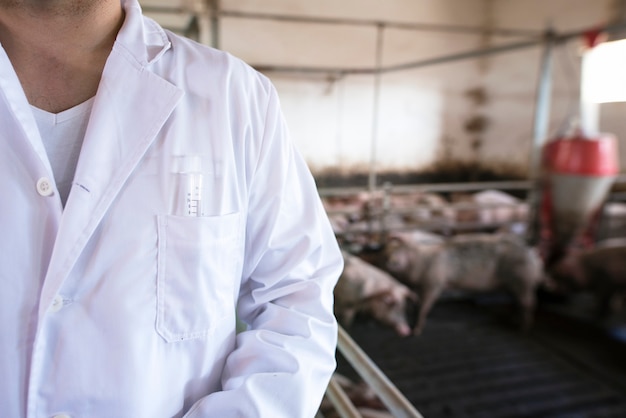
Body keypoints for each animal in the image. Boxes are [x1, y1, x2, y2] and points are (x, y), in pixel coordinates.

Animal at [380, 233, 540, 334]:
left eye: (401, 250)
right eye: (387, 253)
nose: (390, 262)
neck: (422, 260)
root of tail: (532, 254)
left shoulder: (434, 282)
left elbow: (425, 305)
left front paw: (417, 331)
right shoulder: (419, 285)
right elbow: (417, 302)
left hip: (522, 280)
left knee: (529, 303)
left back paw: (523, 329)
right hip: (514, 284)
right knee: (518, 301)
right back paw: (514, 320)